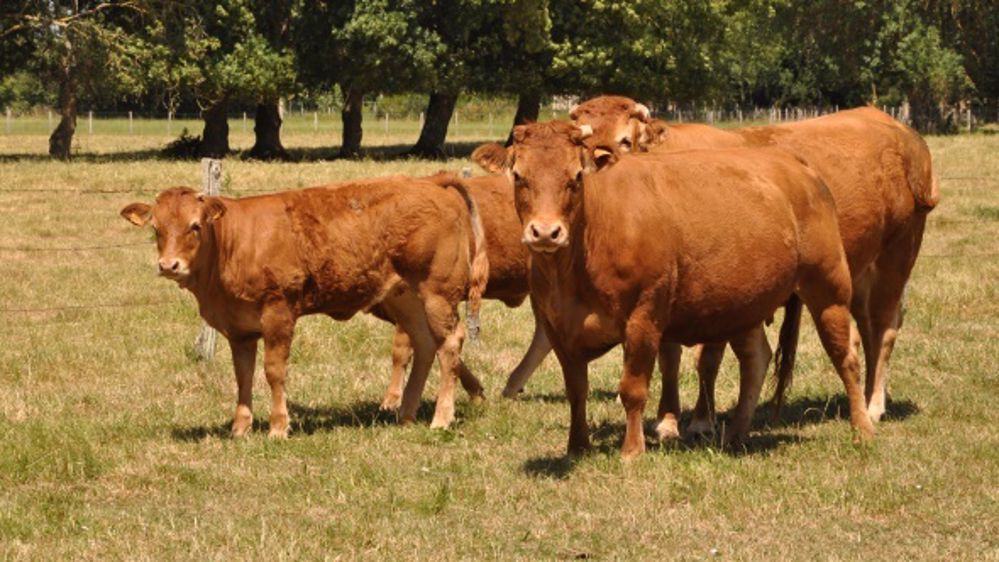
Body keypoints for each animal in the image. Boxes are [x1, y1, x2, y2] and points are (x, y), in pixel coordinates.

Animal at [120, 175, 488, 437]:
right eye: (156, 228)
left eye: (195, 226)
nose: (169, 265)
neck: (233, 244)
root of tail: (431, 183)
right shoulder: (239, 329)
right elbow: (243, 375)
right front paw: (240, 428)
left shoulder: (278, 312)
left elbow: (273, 371)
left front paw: (278, 427)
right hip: (406, 298)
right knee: (425, 344)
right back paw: (406, 415)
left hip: (438, 294)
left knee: (449, 344)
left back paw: (441, 418)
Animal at [488, 120, 872, 458]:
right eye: (518, 176)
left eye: (577, 177)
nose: (545, 232)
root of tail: (796, 165)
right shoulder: (557, 328)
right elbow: (576, 390)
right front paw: (577, 446)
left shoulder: (644, 316)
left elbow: (633, 388)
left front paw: (632, 450)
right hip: (745, 303)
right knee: (756, 360)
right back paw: (736, 434)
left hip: (828, 286)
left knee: (845, 355)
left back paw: (862, 428)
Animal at [555, 95, 937, 433]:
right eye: (584, 141)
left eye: (625, 139)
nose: (601, 160)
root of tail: (895, 127)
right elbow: (669, 356)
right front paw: (667, 421)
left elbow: (706, 358)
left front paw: (700, 420)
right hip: (857, 272)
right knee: (868, 329)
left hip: (896, 254)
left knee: (883, 327)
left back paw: (873, 406)